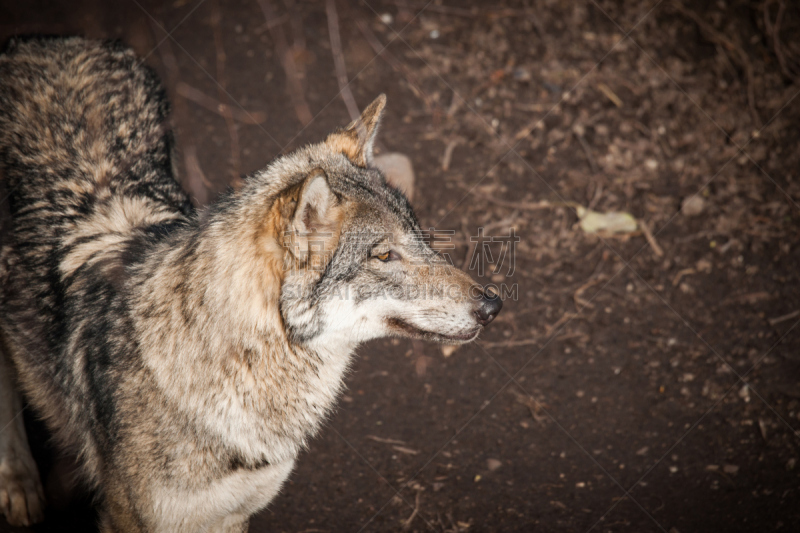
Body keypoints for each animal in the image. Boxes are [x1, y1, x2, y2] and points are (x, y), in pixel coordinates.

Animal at [0, 36, 500, 528]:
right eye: (384, 255)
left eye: (418, 235)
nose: (492, 306)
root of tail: (46, 41)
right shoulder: (136, 518)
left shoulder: (234, 513)